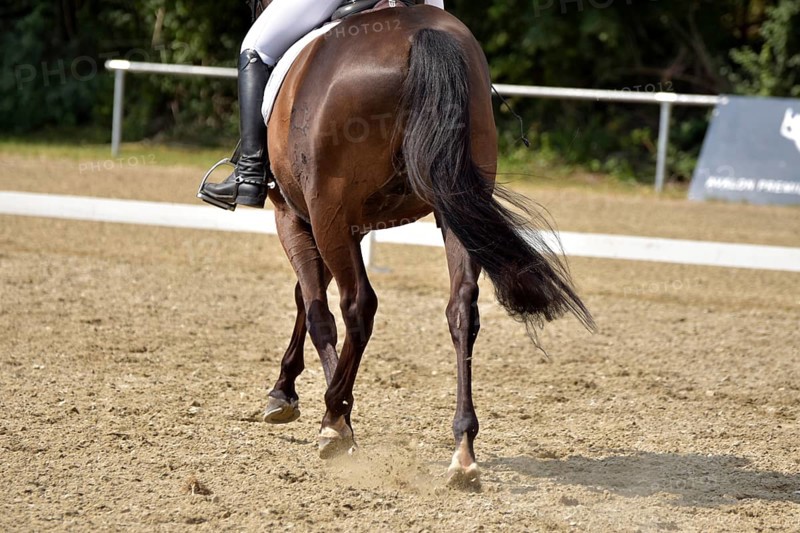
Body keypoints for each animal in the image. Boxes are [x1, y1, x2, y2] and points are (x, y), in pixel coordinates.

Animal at [251, 1, 594, 488]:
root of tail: (420, 34)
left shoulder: (297, 215)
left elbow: (315, 308)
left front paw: (314, 406)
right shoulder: (342, 226)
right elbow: (305, 296)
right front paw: (291, 392)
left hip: (330, 211)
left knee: (358, 306)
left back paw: (334, 421)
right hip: (455, 205)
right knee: (462, 309)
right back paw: (463, 451)